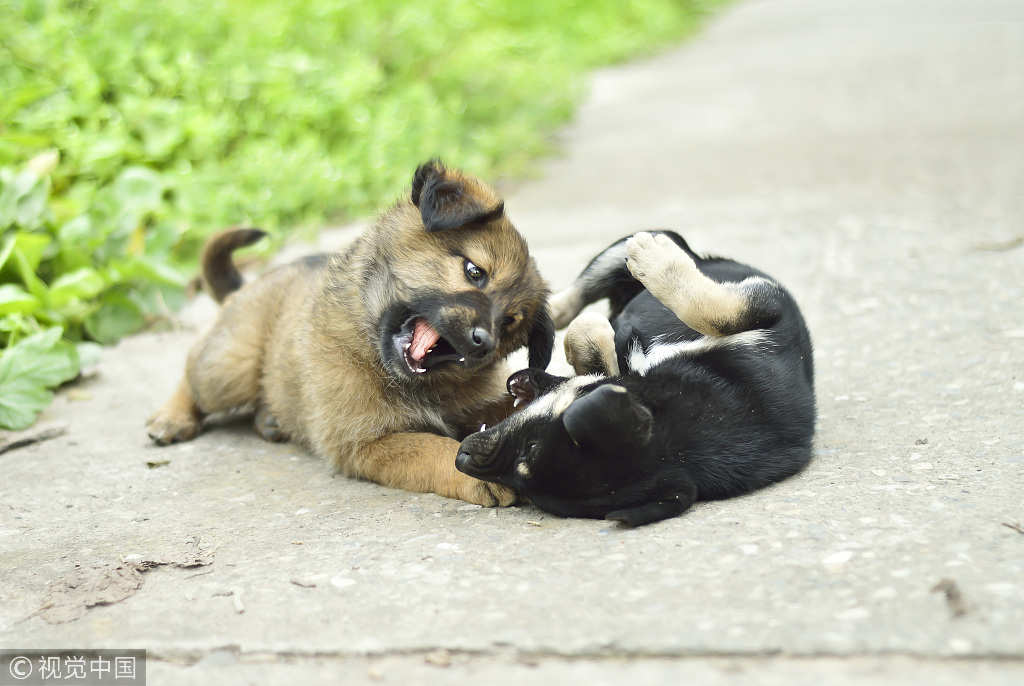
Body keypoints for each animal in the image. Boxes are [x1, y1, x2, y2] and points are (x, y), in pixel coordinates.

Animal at [146, 159, 552, 505]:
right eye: (474, 271)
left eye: (510, 322)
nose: (484, 343)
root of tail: (248, 285)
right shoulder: (365, 442)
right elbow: (430, 447)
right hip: (231, 366)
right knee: (193, 370)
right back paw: (172, 417)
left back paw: (270, 419)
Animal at [458, 231, 815, 528]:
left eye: (529, 450)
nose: (461, 458)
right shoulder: (771, 308)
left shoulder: (768, 309)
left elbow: (707, 310)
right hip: (621, 254)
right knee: (585, 287)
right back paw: (547, 309)